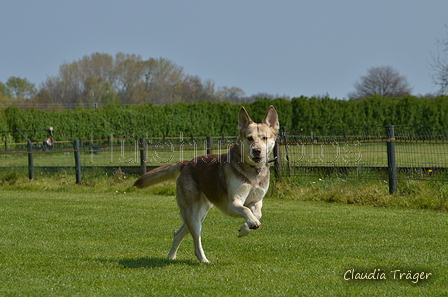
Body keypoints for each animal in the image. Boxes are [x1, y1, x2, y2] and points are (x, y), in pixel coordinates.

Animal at [134, 105, 280, 262]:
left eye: (264, 137)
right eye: (249, 138)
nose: (256, 150)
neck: (253, 171)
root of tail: (187, 163)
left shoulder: (256, 201)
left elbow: (257, 213)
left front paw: (245, 228)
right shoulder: (233, 204)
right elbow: (246, 210)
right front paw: (251, 223)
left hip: (200, 213)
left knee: (177, 233)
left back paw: (171, 256)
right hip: (193, 214)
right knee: (196, 240)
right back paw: (204, 260)